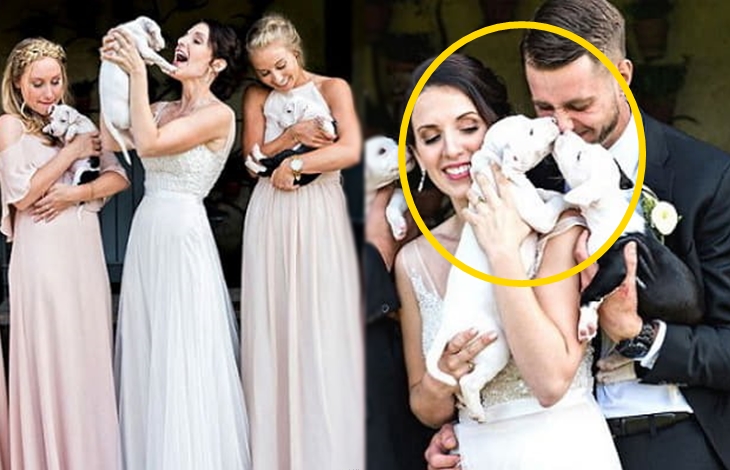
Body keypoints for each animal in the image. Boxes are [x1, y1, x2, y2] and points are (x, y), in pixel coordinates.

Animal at [99, 16, 177, 165]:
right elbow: (159, 58)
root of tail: (107, 117)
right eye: (159, 32)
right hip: (128, 115)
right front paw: (171, 67)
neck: (137, 27)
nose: (164, 43)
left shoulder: (145, 53)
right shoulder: (144, 48)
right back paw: (154, 118)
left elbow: (154, 60)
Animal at [426, 115, 568, 422]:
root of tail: (448, 326)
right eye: (530, 131)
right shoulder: (537, 214)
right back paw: (478, 412)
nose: (553, 119)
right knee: (468, 382)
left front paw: (547, 190)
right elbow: (553, 205)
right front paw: (569, 197)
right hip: (495, 346)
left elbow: (542, 193)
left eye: (529, 121)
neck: (494, 167)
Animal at [552, 130, 702, 347]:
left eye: (579, 156)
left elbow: (589, 290)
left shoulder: (616, 265)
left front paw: (586, 324)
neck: (605, 209)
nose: (565, 131)